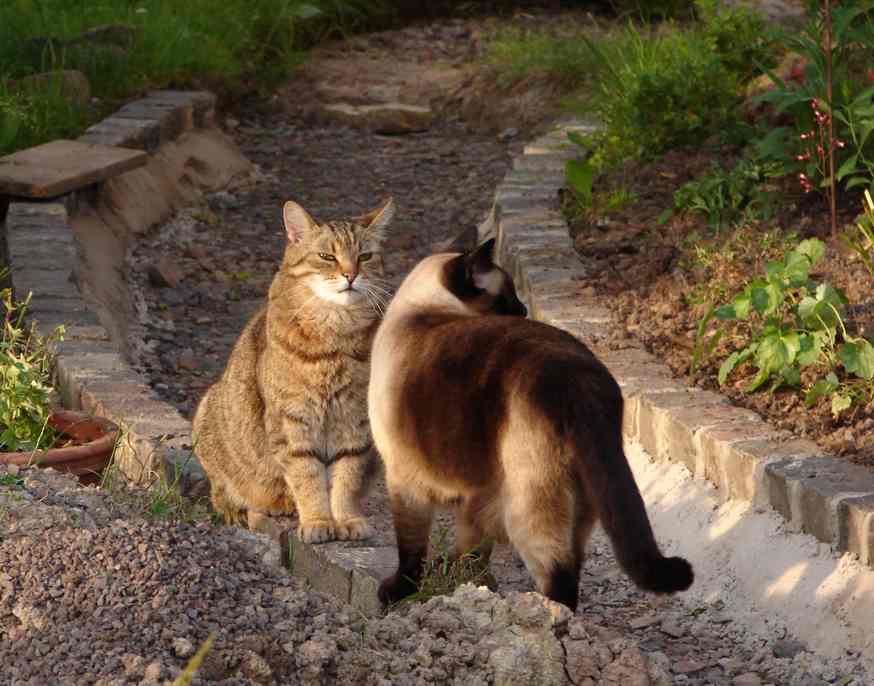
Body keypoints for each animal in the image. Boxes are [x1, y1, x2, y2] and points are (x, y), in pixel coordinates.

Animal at [192, 197, 395, 543]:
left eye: (365, 256)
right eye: (327, 256)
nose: (350, 274)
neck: (336, 333)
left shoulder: (354, 421)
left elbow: (347, 478)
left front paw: (346, 519)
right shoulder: (292, 420)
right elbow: (307, 477)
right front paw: (317, 521)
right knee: (222, 494)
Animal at [368, 238, 694, 610]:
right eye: (507, 298)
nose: (523, 309)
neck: (423, 311)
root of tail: (581, 379)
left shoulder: (405, 481)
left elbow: (411, 551)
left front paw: (400, 593)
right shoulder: (476, 496)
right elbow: (471, 549)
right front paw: (469, 585)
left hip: (529, 502)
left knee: (558, 572)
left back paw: (546, 614)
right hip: (581, 500)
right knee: (573, 560)